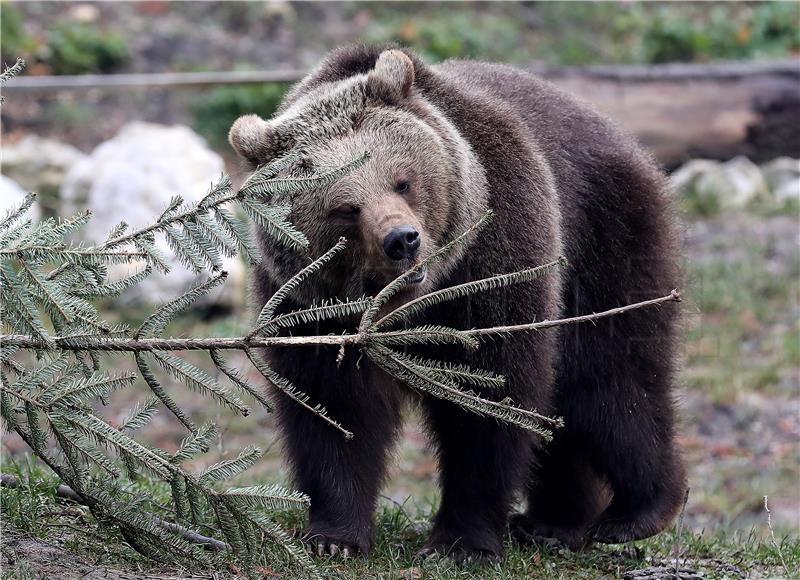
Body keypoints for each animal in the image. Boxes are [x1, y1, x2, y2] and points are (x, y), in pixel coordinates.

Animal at [228, 45, 684, 560]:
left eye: (402, 180)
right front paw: (334, 536)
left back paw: (636, 513)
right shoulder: (306, 307)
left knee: (610, 381)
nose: (402, 240)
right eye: (345, 207)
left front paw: (461, 540)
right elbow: (333, 406)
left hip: (602, 240)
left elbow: (488, 401)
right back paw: (553, 522)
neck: (409, 307)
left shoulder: (494, 261)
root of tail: (614, 130)